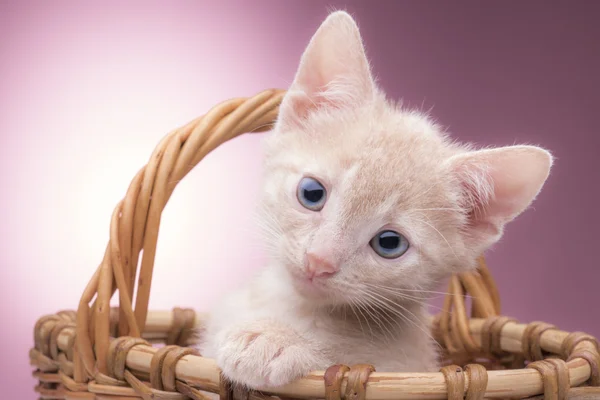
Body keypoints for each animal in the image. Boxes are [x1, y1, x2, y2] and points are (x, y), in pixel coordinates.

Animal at [199, 10, 552, 390]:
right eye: (312, 193)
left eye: (389, 243)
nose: (319, 260)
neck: (294, 306)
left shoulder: (403, 368)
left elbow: (342, 360)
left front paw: (275, 341)